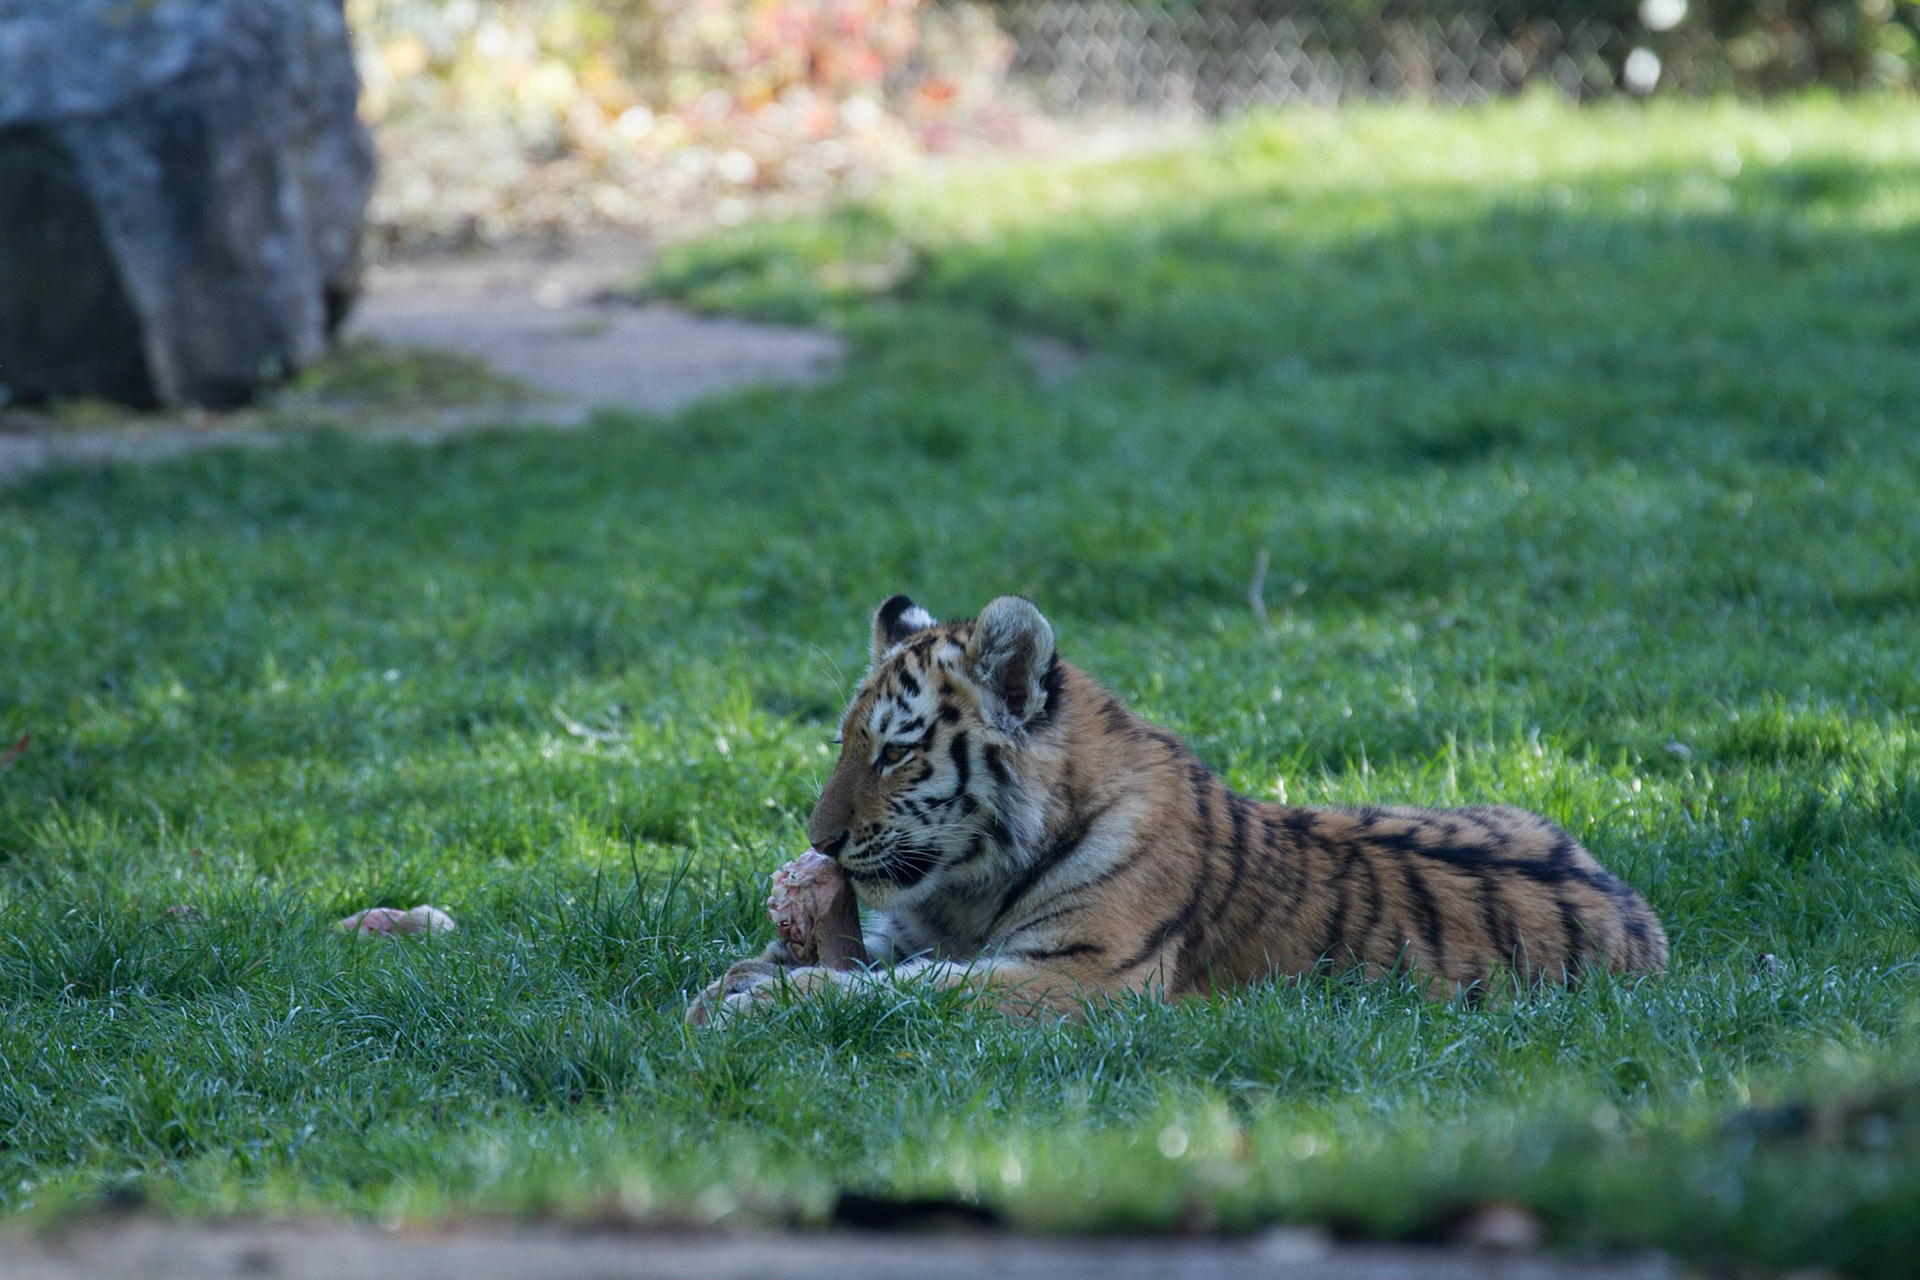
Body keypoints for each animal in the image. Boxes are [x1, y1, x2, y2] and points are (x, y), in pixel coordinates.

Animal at [686, 594, 1667, 1025]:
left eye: (895, 751)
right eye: (847, 742)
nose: (820, 842)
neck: (971, 886)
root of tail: (1643, 918)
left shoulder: (1082, 977)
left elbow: (919, 989)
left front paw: (762, 1000)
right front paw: (738, 977)